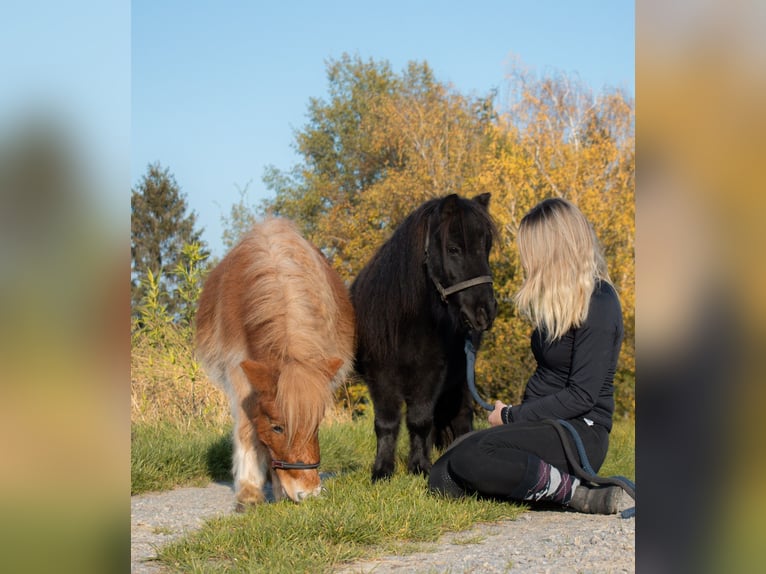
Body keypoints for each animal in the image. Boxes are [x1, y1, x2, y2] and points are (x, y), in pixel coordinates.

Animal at [196, 218, 356, 506]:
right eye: (277, 427)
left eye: (316, 425)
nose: (309, 492)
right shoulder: (239, 371)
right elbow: (247, 429)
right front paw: (249, 492)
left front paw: (280, 490)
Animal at [352, 194, 500, 482]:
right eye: (454, 249)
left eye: (485, 247)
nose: (485, 312)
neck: (406, 324)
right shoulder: (380, 377)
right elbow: (386, 423)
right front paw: (382, 471)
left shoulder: (431, 375)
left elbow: (420, 420)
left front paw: (419, 468)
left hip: (460, 383)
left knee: (459, 417)